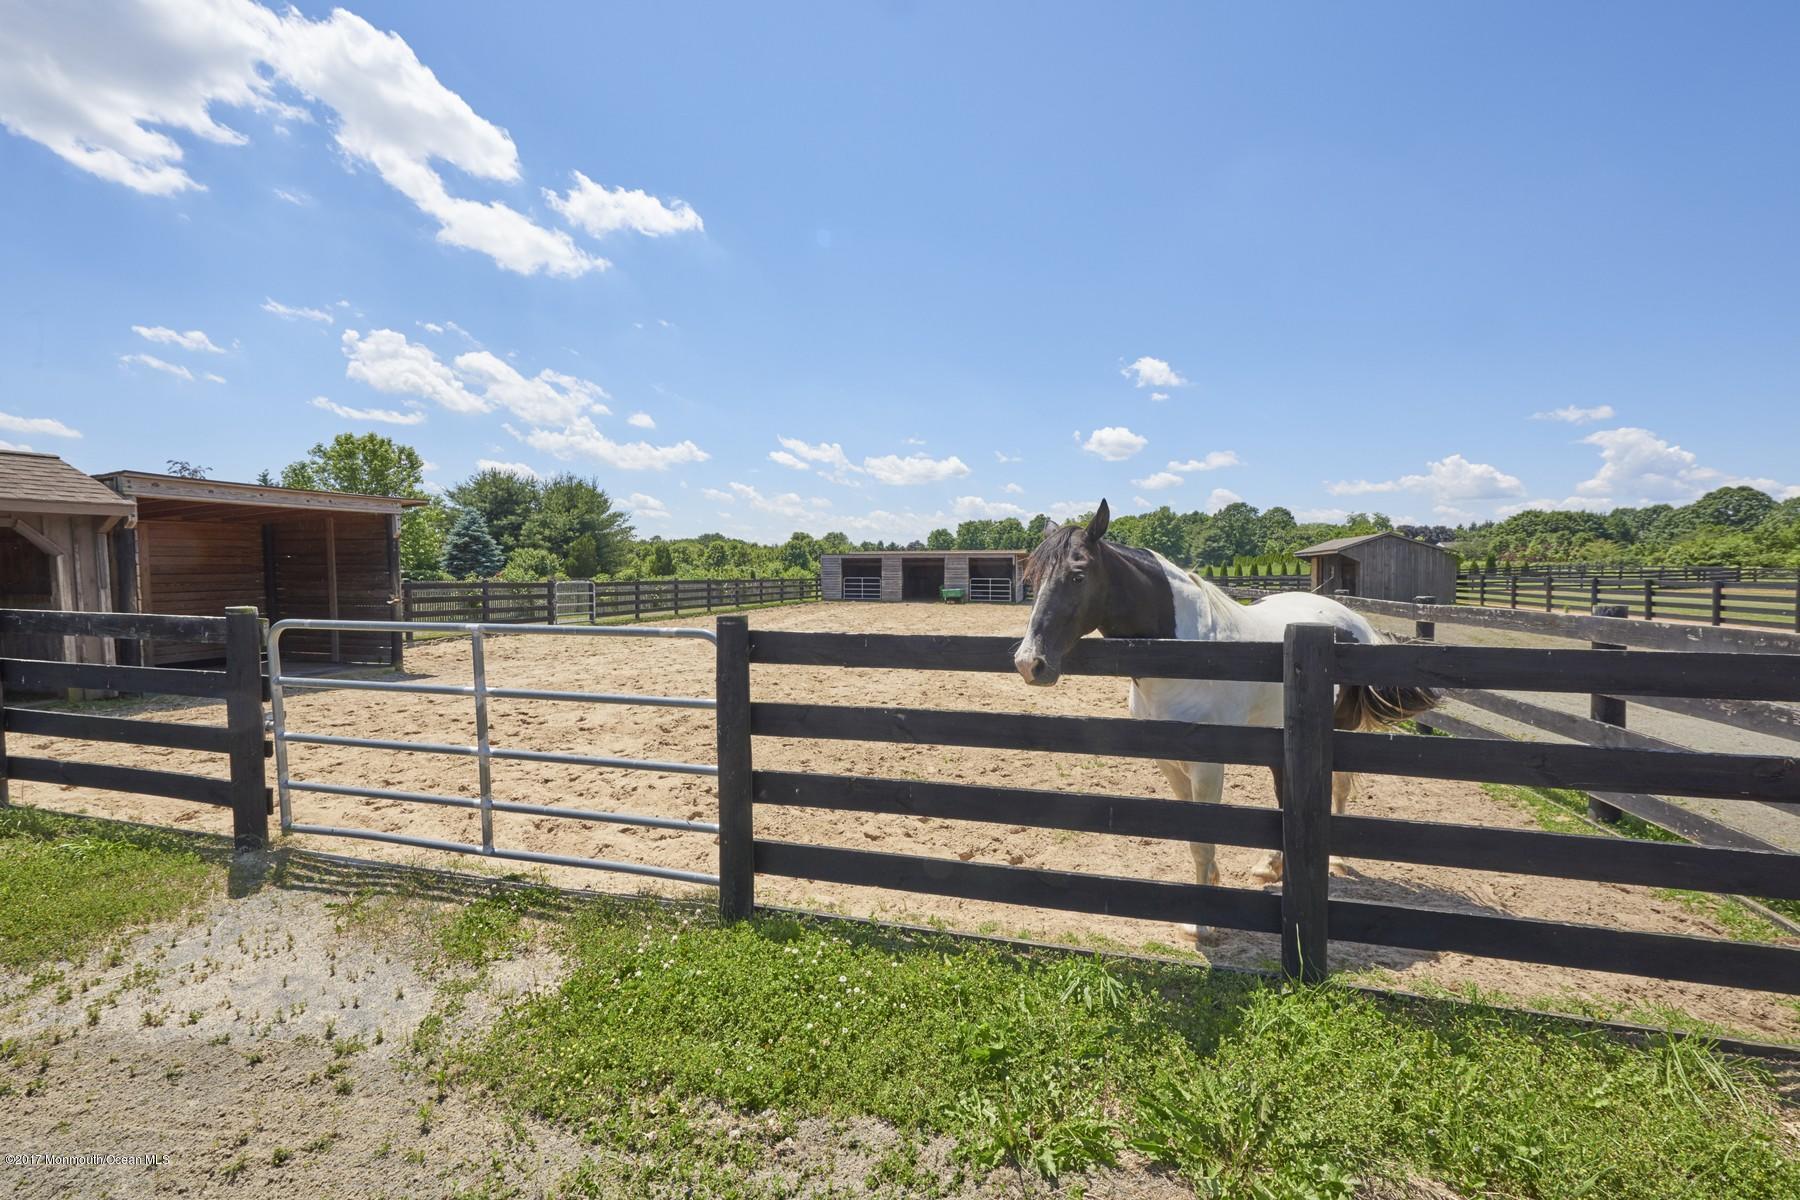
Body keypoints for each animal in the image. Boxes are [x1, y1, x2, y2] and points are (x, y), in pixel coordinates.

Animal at [1012, 500, 1437, 944]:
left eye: (1077, 575)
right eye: (1032, 578)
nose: (1030, 662)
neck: (1185, 653)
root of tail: (1352, 621)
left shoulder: (1208, 765)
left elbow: (1205, 835)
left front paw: (1201, 923)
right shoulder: (1169, 763)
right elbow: (1195, 833)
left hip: (1338, 732)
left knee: (1336, 789)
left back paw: (1334, 860)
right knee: (1285, 796)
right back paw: (1271, 865)